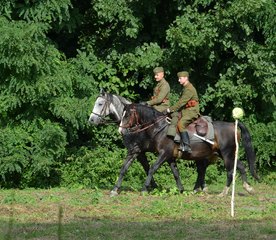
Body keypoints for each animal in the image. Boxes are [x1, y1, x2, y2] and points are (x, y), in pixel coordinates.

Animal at [118, 103, 258, 195]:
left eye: (128, 114)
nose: (121, 131)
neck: (160, 128)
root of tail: (233, 125)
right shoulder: (170, 157)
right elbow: (175, 172)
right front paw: (181, 189)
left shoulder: (164, 154)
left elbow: (152, 168)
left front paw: (144, 188)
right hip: (226, 154)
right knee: (240, 166)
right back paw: (248, 187)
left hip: (226, 154)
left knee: (230, 171)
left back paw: (224, 192)